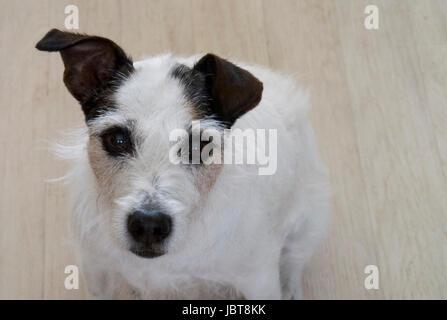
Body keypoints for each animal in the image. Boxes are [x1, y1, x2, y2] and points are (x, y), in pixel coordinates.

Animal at [36, 28, 330, 298]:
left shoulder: (258, 279)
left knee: (294, 262)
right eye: (117, 139)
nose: (149, 226)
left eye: (199, 146)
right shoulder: (98, 269)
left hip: (306, 226)